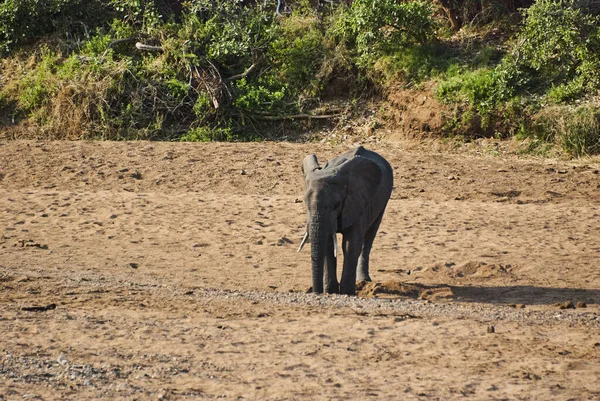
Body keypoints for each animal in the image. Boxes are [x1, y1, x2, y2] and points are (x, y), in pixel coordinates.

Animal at [296, 146, 392, 294]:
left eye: (336, 205)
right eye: (305, 204)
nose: (316, 292)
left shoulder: (358, 201)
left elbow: (350, 245)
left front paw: (347, 292)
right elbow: (328, 245)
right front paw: (331, 292)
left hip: (383, 199)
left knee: (369, 237)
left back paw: (364, 280)